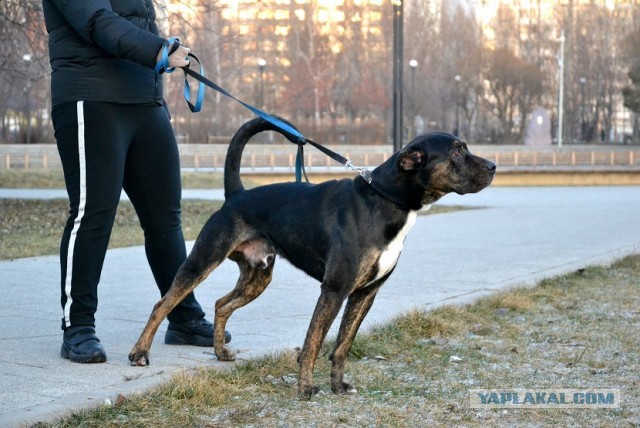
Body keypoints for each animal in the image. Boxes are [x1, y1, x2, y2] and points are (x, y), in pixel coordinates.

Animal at [127, 116, 498, 394]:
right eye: (456, 153)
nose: (494, 166)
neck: (385, 199)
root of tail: (236, 195)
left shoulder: (365, 294)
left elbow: (342, 346)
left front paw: (338, 386)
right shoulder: (334, 290)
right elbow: (314, 343)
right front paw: (305, 388)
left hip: (258, 277)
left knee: (221, 304)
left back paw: (219, 352)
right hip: (203, 260)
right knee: (163, 304)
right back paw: (139, 352)